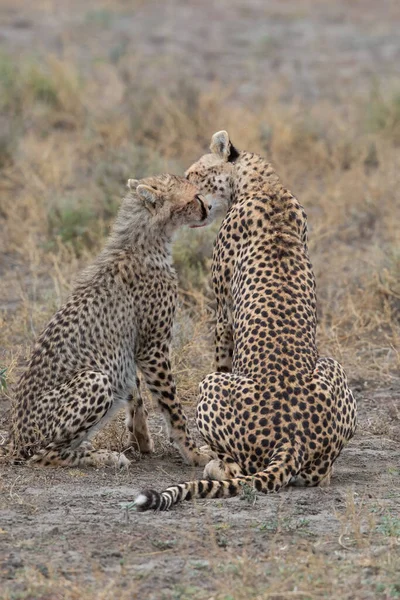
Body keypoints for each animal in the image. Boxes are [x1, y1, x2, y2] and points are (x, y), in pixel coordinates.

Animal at [4, 173, 214, 468]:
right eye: (194, 196)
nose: (209, 207)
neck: (143, 241)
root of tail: (14, 439)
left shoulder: (133, 348)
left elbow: (135, 393)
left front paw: (142, 440)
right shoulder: (153, 348)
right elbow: (173, 408)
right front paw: (194, 453)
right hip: (95, 379)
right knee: (43, 455)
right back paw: (104, 456)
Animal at [134, 131, 356, 510]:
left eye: (194, 175)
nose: (193, 202)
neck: (264, 184)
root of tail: (292, 439)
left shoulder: (222, 316)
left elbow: (222, 358)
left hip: (210, 387)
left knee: (238, 468)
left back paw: (214, 465)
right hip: (333, 368)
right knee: (321, 475)